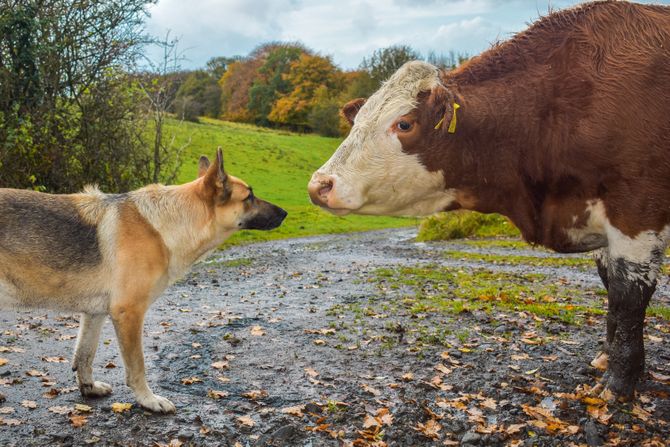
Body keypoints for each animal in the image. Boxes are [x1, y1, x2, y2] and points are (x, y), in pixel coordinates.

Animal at [0, 150, 286, 412]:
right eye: (249, 196)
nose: (284, 213)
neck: (164, 226)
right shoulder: (129, 313)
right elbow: (137, 366)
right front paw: (148, 400)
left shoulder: (95, 314)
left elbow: (85, 355)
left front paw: (88, 388)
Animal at [308, 0, 670, 400]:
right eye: (357, 122)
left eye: (404, 124)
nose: (319, 184)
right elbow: (611, 288)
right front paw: (606, 356)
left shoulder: (637, 212)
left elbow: (628, 296)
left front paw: (620, 381)